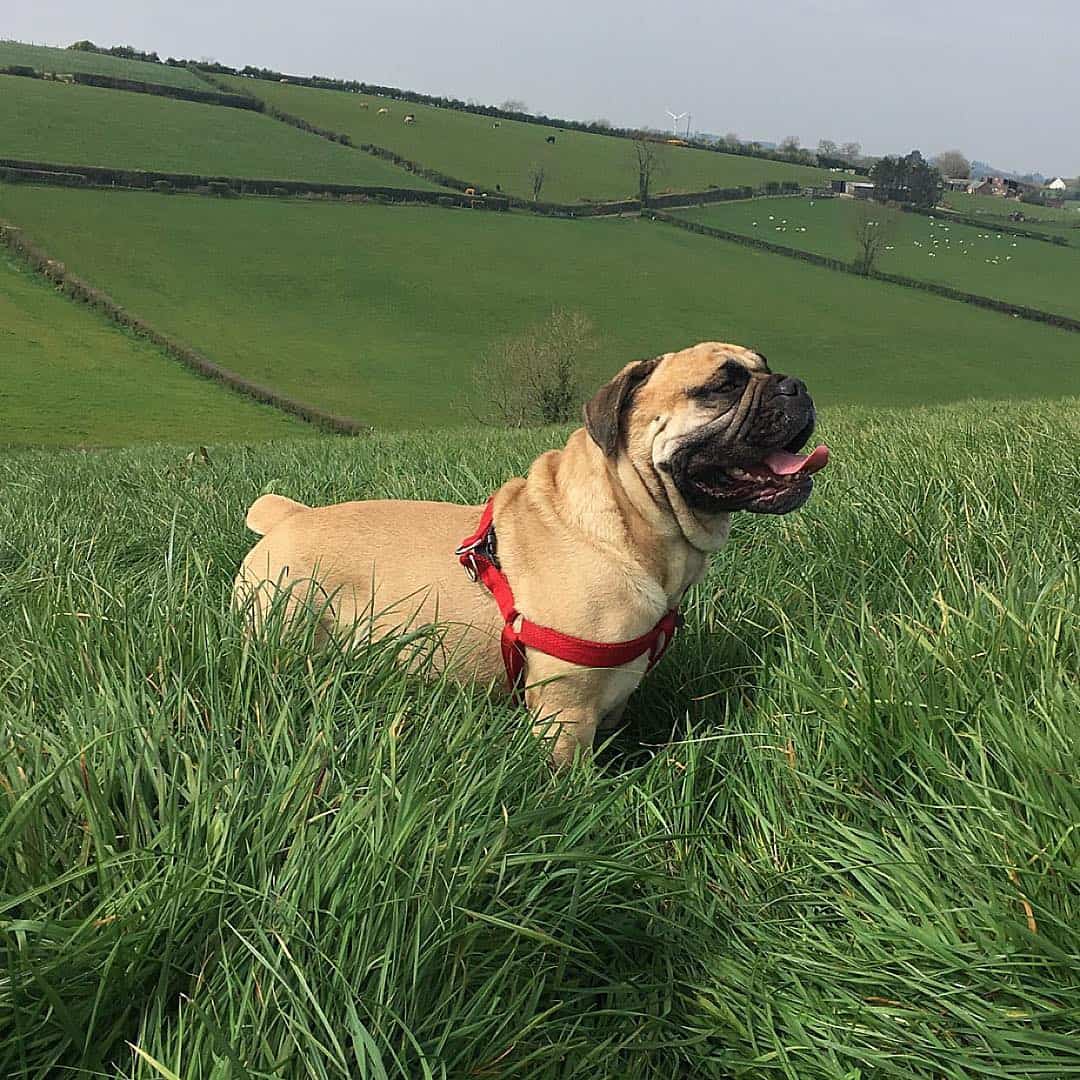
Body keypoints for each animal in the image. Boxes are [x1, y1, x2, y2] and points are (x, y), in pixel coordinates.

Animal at [236, 341, 825, 764]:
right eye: (722, 387)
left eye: (766, 368)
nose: (795, 386)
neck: (626, 525)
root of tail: (288, 517)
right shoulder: (566, 713)